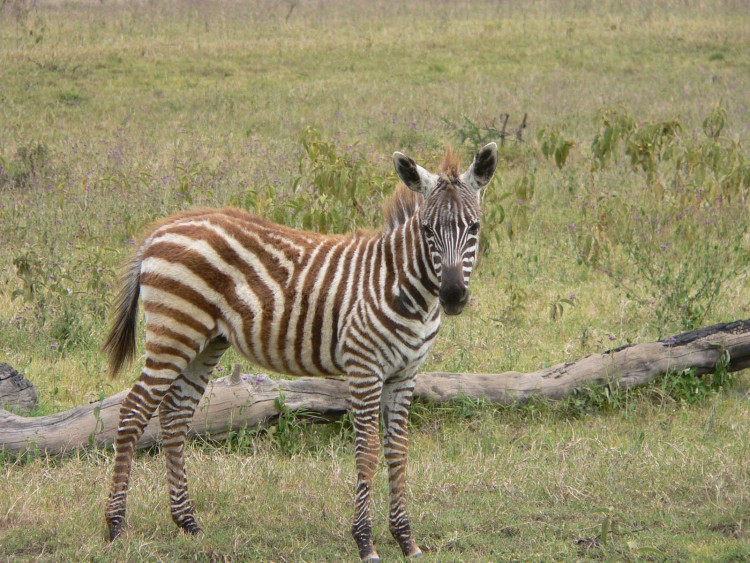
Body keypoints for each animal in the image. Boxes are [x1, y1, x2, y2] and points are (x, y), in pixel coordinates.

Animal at [101, 142, 500, 560]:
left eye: (473, 227)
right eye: (427, 230)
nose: (453, 296)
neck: (401, 285)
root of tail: (163, 227)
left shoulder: (405, 374)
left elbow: (398, 450)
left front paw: (405, 539)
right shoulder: (364, 369)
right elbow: (368, 450)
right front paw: (365, 541)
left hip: (205, 342)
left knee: (175, 416)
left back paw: (188, 523)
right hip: (174, 332)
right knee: (132, 412)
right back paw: (116, 526)